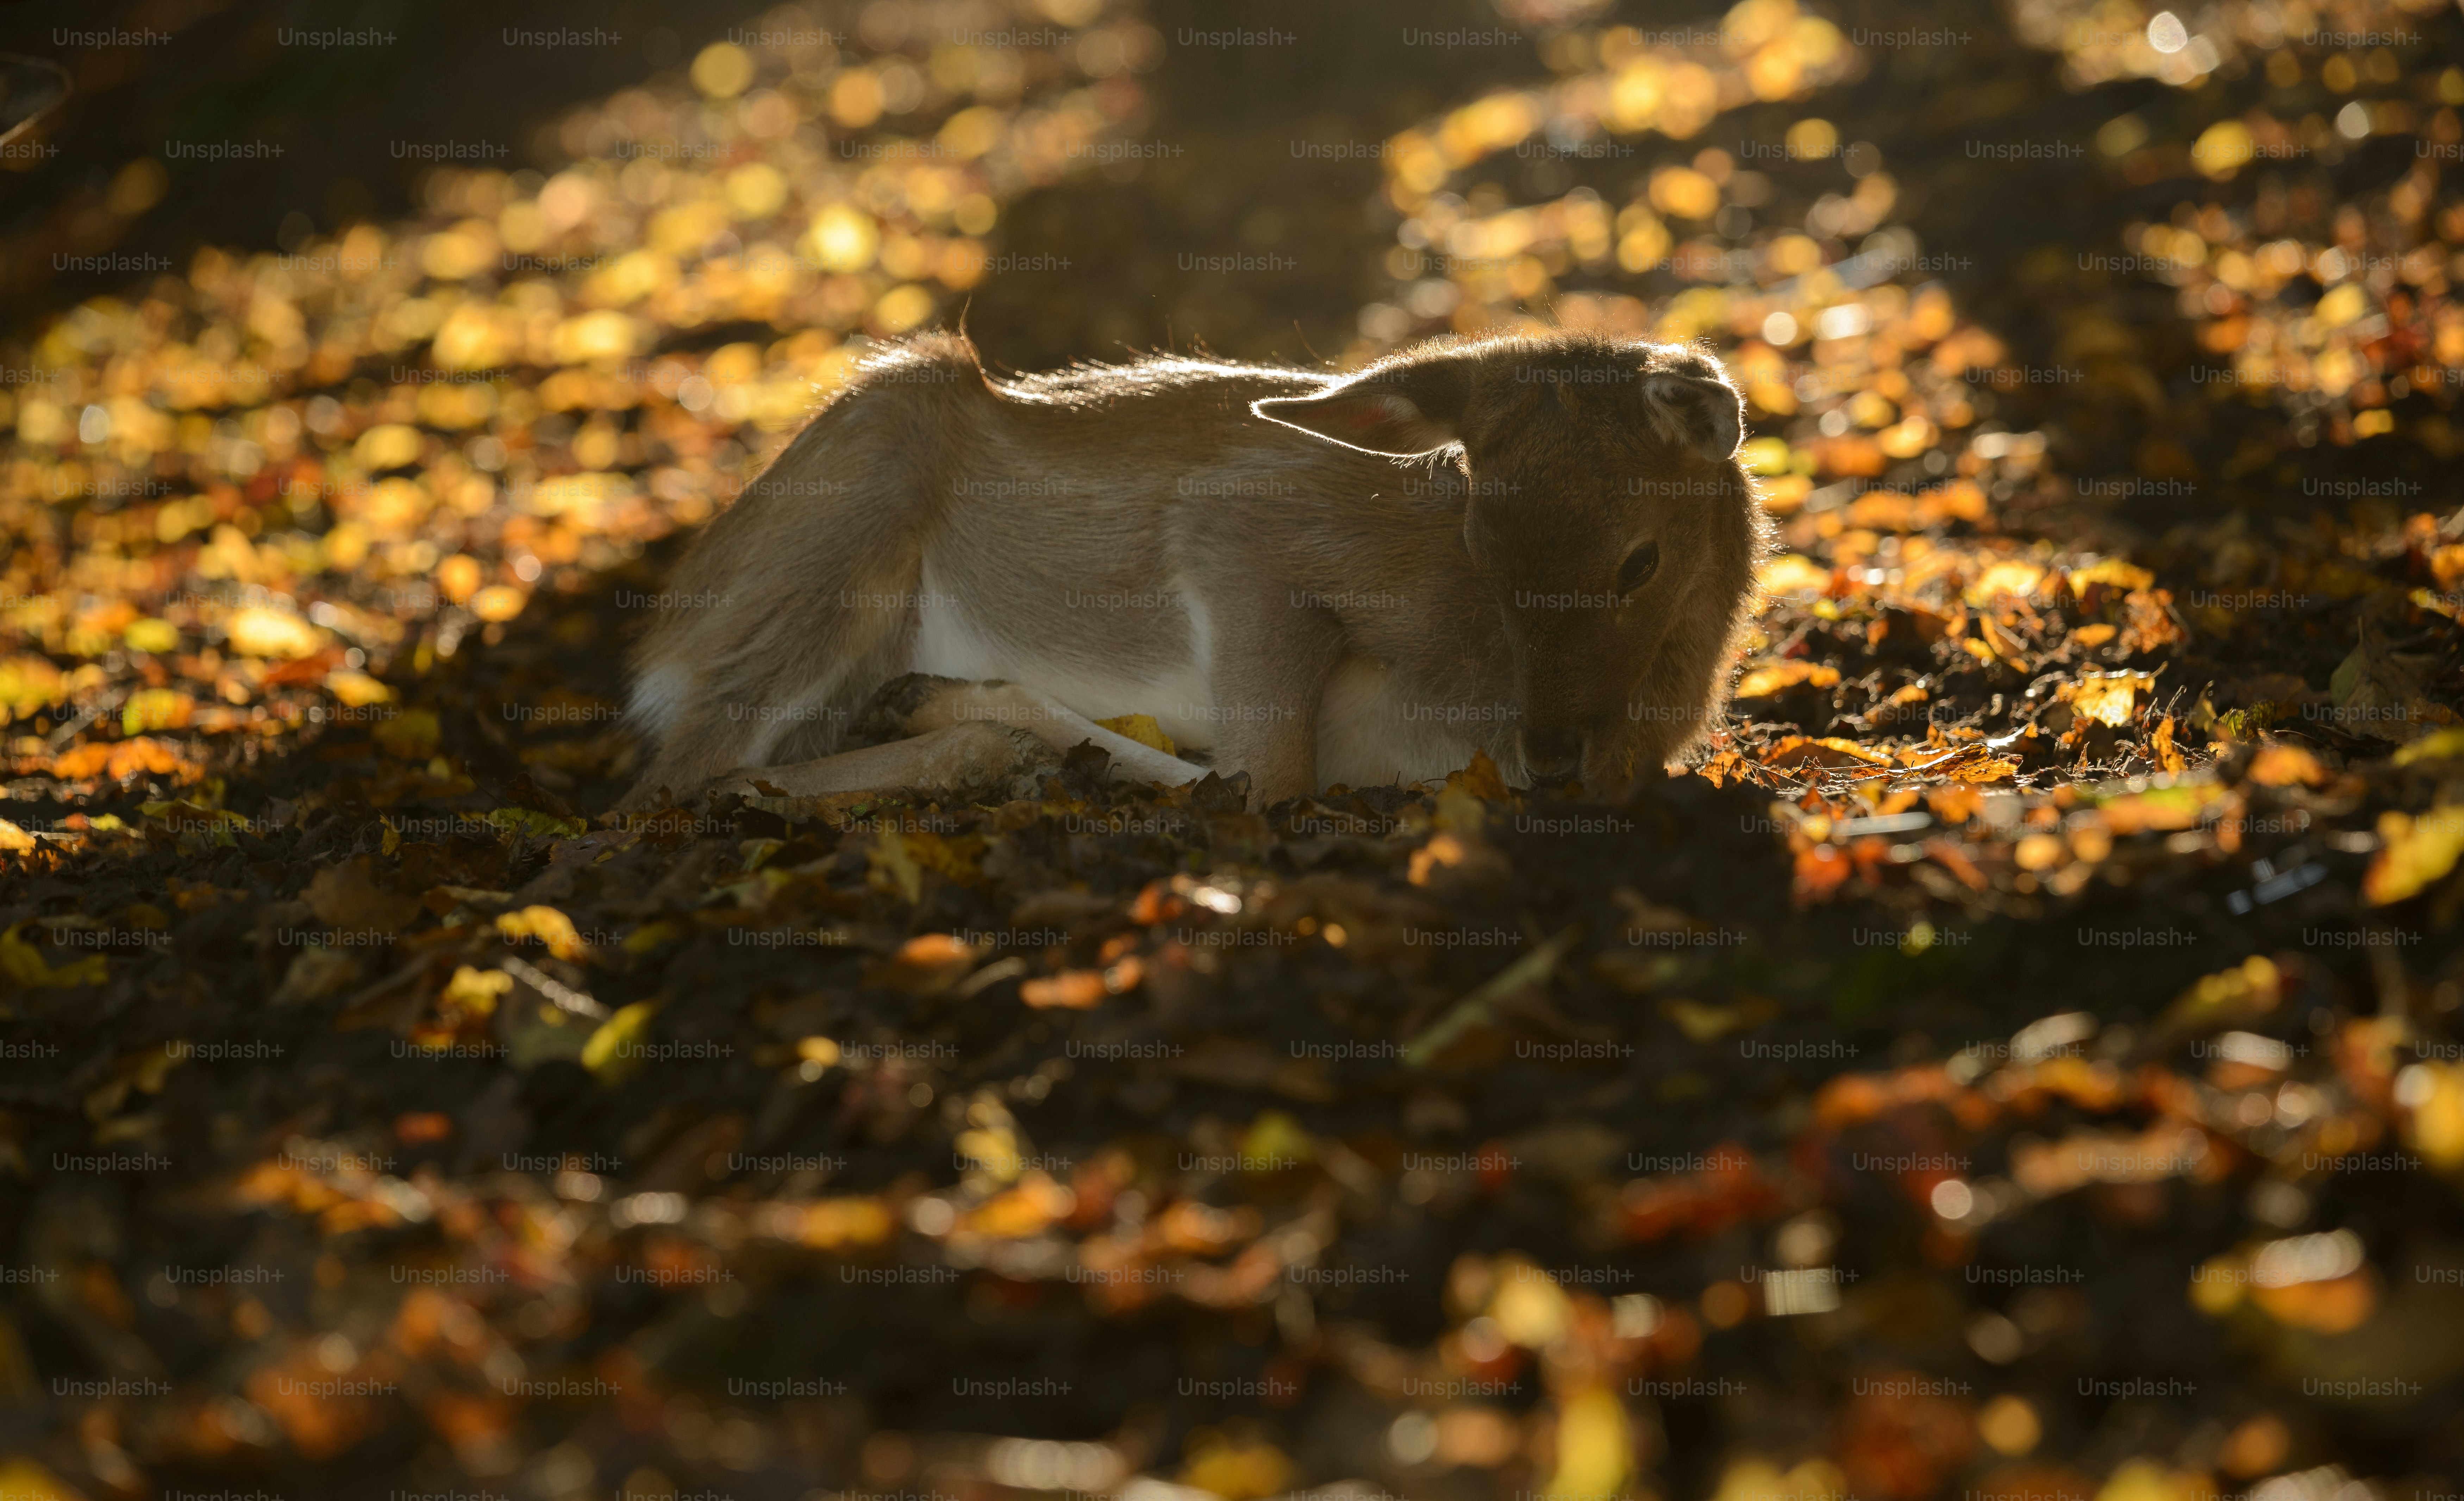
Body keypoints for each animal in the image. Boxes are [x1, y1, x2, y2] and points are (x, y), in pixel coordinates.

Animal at [616, 330, 1774, 808]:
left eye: (1639, 560)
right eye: (1477, 546)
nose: (1555, 751)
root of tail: (661, 641)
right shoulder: (1239, 529)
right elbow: (1268, 777)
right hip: (840, 529)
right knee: (675, 778)